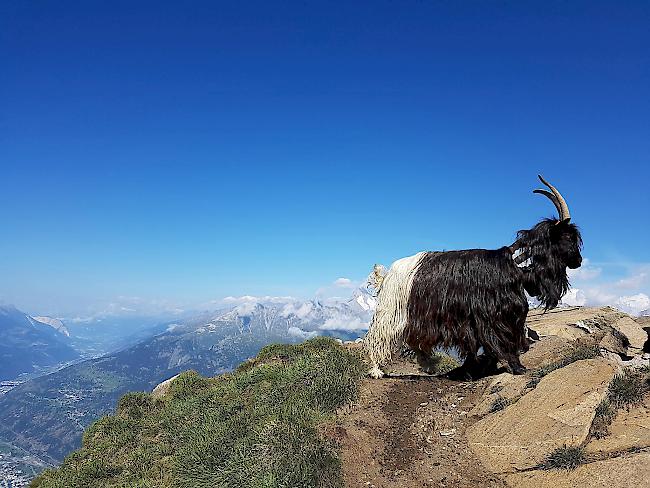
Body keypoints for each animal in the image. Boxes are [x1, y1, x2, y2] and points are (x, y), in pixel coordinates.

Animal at [364, 175, 584, 382]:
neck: (513, 266)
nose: (579, 261)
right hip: (393, 310)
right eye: (567, 237)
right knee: (378, 336)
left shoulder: (471, 320)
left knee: (414, 338)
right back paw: (376, 370)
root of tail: (387, 275)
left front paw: (473, 370)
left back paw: (429, 365)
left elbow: (476, 345)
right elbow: (502, 339)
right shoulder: (493, 317)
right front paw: (517, 367)